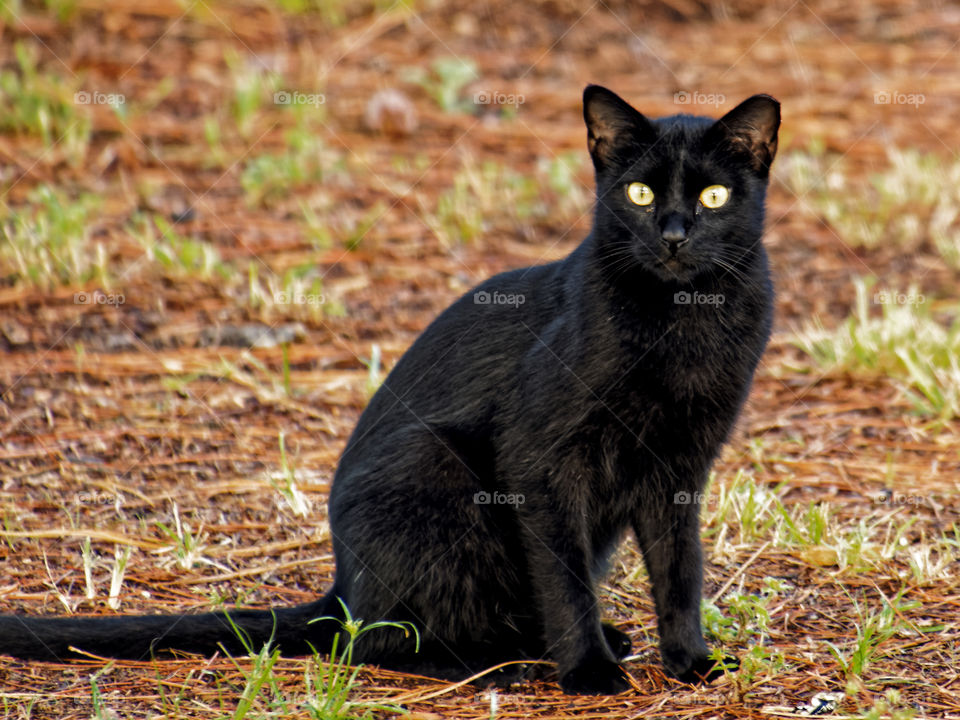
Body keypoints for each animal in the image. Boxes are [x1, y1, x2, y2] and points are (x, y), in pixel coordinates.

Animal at [0, 86, 776, 696]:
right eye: (640, 194)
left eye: (713, 196)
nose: (673, 235)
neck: (682, 324)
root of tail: (343, 589)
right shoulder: (543, 459)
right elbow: (566, 580)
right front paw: (587, 673)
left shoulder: (682, 465)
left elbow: (680, 572)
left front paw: (691, 661)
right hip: (433, 464)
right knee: (377, 643)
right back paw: (497, 665)